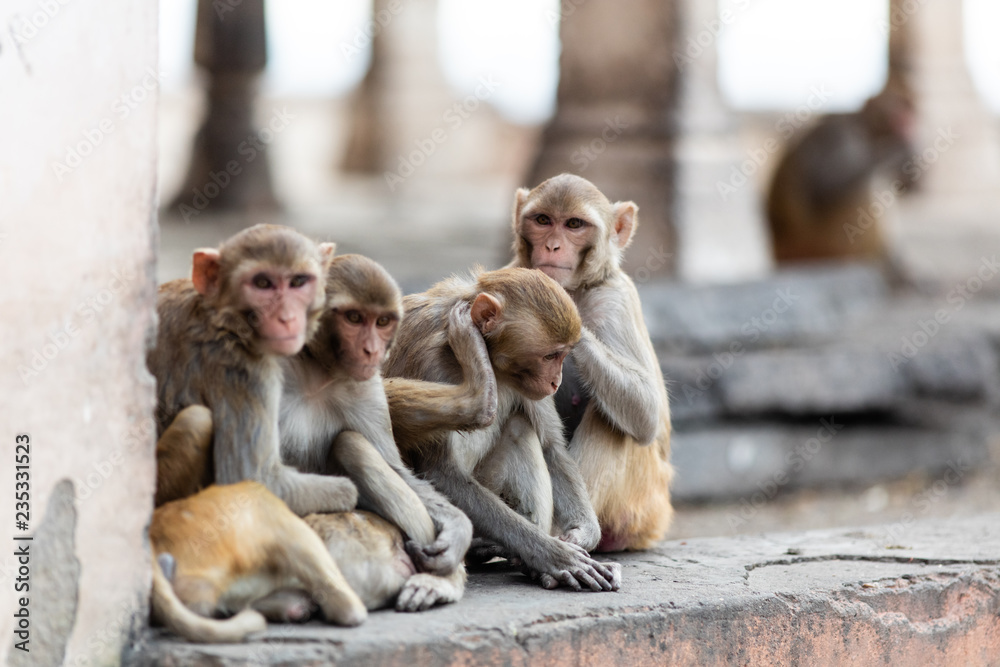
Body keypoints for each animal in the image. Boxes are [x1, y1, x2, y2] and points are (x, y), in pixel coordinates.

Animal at [148, 224, 359, 516]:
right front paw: (349, 490)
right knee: (197, 420)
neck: (222, 318)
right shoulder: (244, 370)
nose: (287, 318)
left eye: (298, 282)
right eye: (262, 284)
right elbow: (254, 480)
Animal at [276, 254, 479, 612]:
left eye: (382, 321)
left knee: (352, 444)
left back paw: (441, 582)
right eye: (354, 318)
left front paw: (458, 530)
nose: (371, 350)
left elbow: (399, 470)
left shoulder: (368, 387)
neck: (319, 371)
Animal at [383, 267, 621, 592]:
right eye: (550, 356)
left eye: (563, 355)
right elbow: (440, 473)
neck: (495, 364)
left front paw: (580, 534)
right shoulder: (431, 363)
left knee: (519, 428)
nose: (556, 381)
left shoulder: (528, 385)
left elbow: (552, 447)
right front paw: (556, 555)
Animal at [507, 174, 674, 552]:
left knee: (613, 422)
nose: (553, 246)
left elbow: (648, 412)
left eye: (574, 225)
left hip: (643, 503)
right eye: (543, 220)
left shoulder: (616, 298)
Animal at [766, 79, 917, 266]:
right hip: (820, 243)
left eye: (910, 108)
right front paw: (899, 149)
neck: (864, 129)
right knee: (862, 189)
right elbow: (823, 190)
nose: (909, 121)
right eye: (901, 108)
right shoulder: (837, 135)